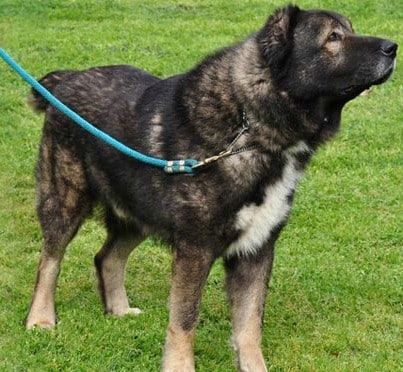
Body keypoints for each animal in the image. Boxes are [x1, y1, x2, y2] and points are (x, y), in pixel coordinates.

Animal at [26, 5, 398, 372]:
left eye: (350, 29)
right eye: (333, 38)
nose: (393, 47)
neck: (249, 129)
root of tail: (67, 79)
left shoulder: (256, 250)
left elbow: (249, 327)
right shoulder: (196, 250)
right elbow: (185, 319)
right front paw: (179, 366)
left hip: (137, 213)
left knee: (107, 257)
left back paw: (118, 309)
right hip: (65, 200)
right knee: (50, 260)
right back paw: (40, 318)